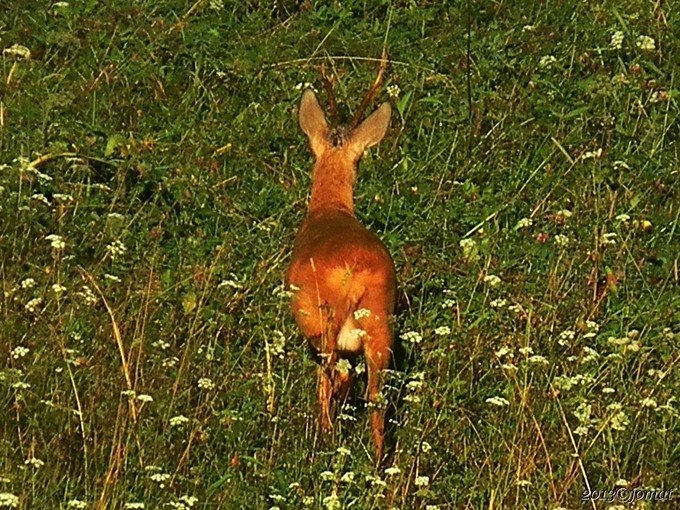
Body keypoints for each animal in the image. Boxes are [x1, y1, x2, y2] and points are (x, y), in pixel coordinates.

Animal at [286, 64, 394, 462]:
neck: (329, 208)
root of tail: (356, 272)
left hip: (325, 318)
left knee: (332, 377)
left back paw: (326, 436)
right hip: (380, 323)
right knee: (376, 395)